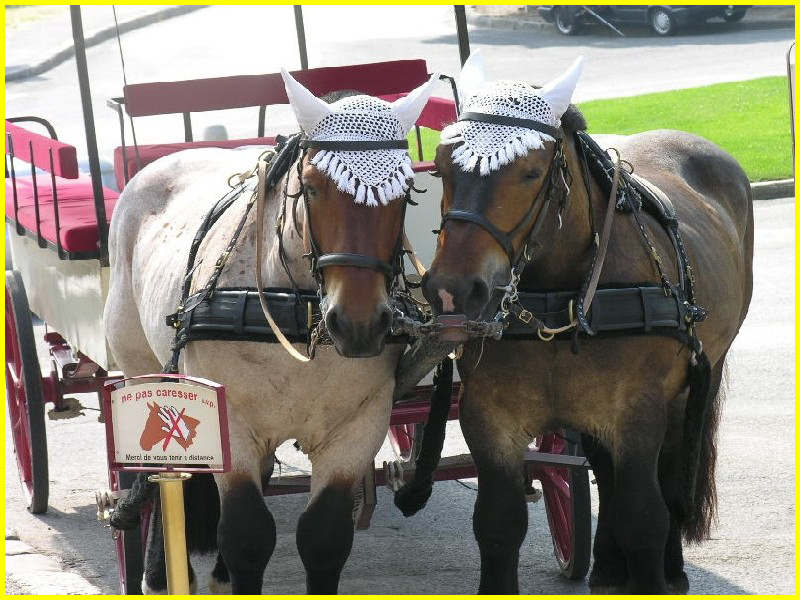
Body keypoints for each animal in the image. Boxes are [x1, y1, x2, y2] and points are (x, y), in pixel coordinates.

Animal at [422, 52, 752, 596]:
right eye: (444, 164)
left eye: (532, 172)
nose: (454, 289)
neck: (558, 302)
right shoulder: (488, 417)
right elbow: (498, 523)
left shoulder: (636, 411)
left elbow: (643, 516)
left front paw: (654, 570)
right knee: (608, 474)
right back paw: (609, 567)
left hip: (693, 384)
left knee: (666, 475)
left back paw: (670, 567)